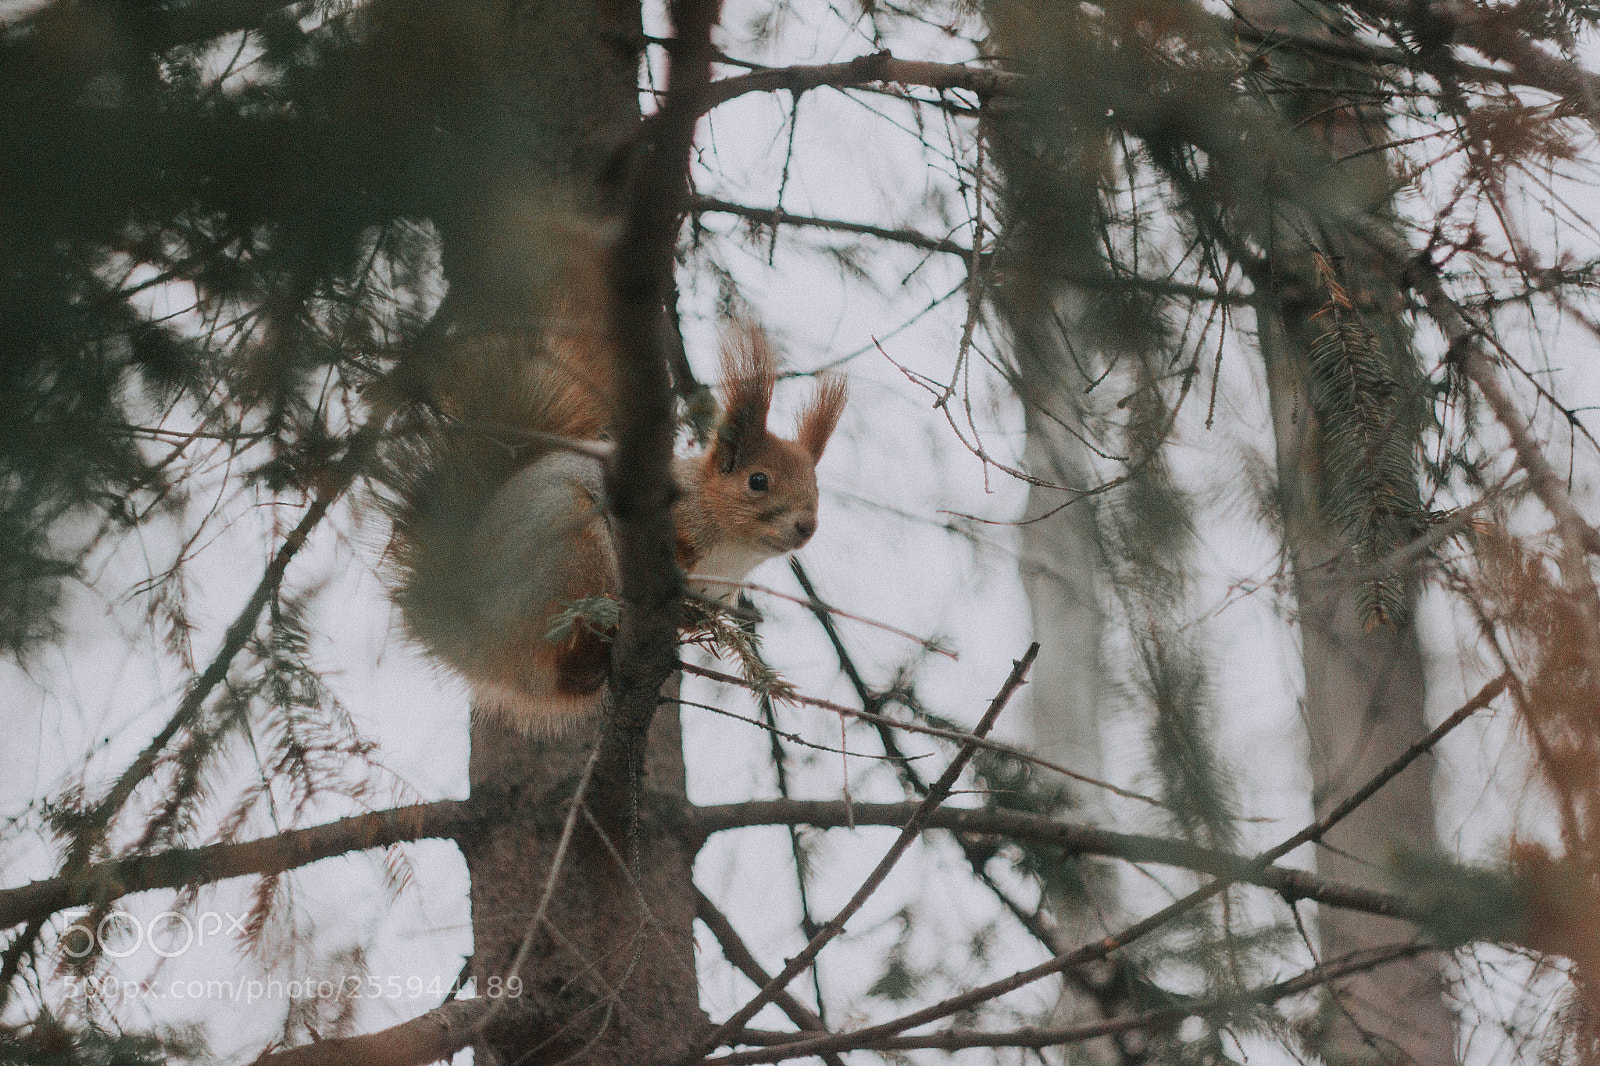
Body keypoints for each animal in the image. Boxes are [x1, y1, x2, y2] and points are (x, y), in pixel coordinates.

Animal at [379, 253, 847, 736]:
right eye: (758, 481)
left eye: (815, 488)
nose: (807, 526)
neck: (731, 553)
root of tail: (473, 637)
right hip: (570, 556)